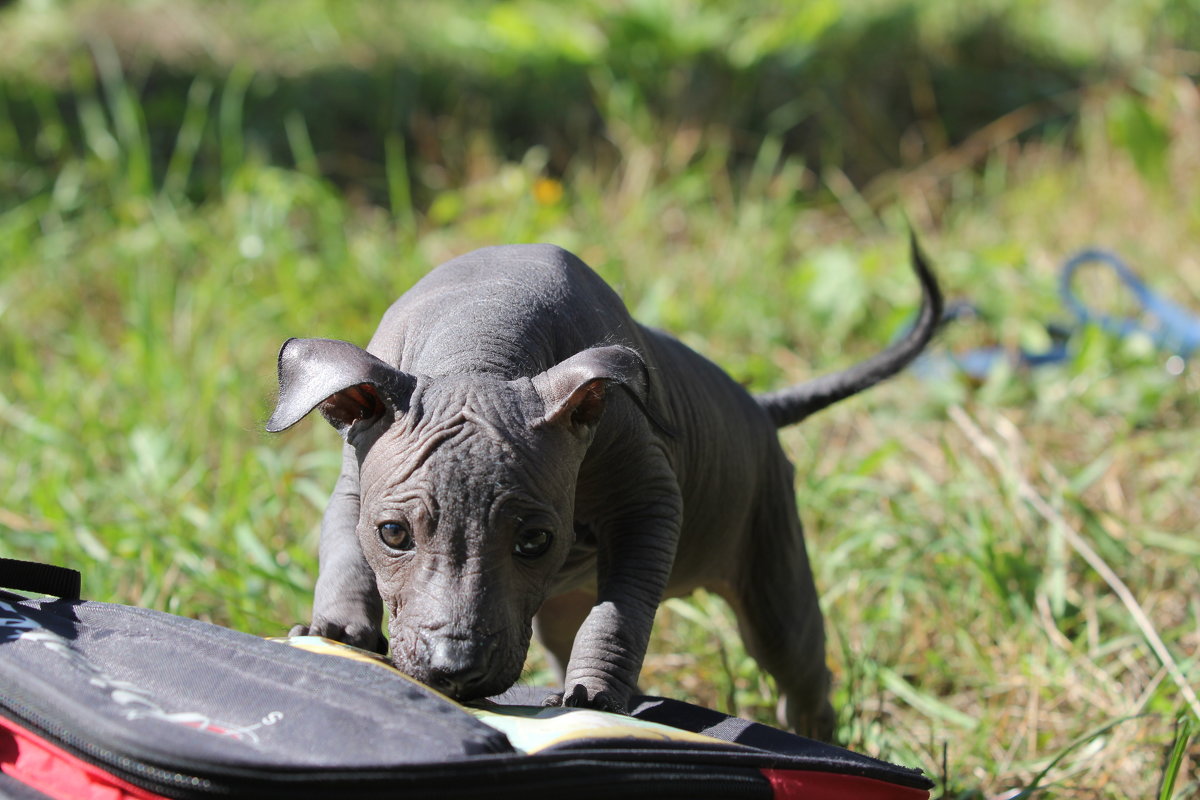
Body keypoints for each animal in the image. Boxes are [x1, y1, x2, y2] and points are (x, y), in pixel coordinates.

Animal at [267, 237, 940, 738]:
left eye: (536, 540)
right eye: (392, 533)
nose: (454, 668)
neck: (477, 341)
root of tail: (757, 404)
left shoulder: (649, 498)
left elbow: (623, 607)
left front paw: (596, 695)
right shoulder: (354, 483)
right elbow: (344, 551)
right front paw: (337, 632)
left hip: (770, 554)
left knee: (799, 668)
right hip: (561, 603)